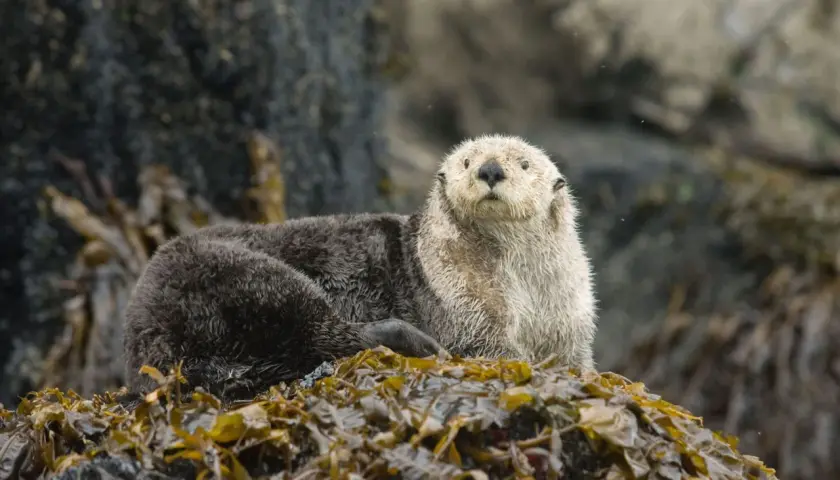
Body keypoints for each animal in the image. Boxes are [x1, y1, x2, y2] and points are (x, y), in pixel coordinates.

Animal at [123, 134, 597, 400]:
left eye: (524, 164)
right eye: (466, 161)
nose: (491, 169)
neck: (521, 284)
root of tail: (143, 334)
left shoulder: (569, 318)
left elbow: (576, 359)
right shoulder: (467, 305)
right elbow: (492, 348)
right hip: (246, 277)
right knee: (328, 336)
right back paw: (420, 344)